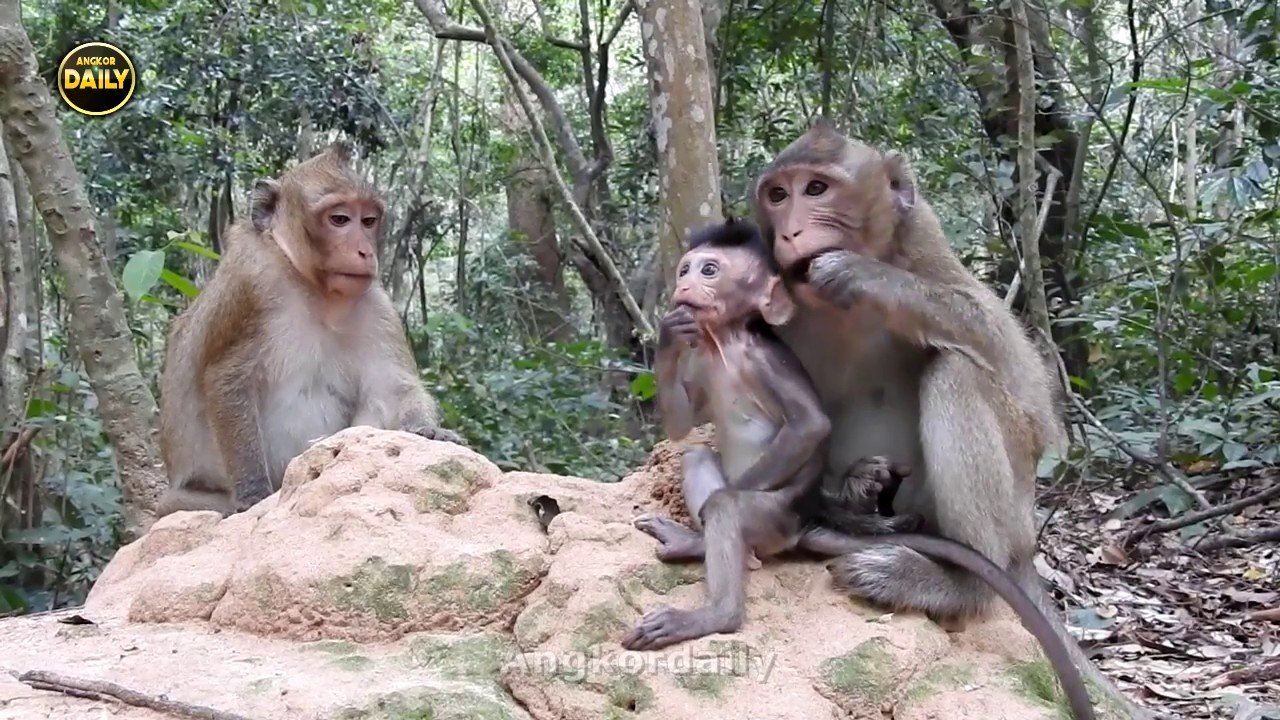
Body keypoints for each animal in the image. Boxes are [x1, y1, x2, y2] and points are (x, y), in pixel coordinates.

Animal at [157, 141, 464, 518]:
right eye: (339, 219)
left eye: (368, 220)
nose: (365, 251)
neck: (313, 287)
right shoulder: (250, 282)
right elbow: (225, 377)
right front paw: (252, 495)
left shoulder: (377, 306)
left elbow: (393, 389)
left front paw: (428, 431)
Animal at [623, 219, 920, 652]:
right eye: (684, 270)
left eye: (708, 270)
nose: (684, 286)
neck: (726, 343)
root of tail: (801, 523)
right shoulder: (701, 360)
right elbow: (681, 427)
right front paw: (668, 334)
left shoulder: (763, 361)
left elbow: (811, 425)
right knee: (696, 455)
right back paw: (694, 543)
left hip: (771, 518)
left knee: (727, 505)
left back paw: (714, 610)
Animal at [751, 120, 1151, 718]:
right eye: (778, 195)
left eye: (816, 190)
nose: (791, 231)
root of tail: (1023, 548)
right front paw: (844, 494)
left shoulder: (925, 240)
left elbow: (1025, 390)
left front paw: (866, 277)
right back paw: (853, 504)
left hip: (1010, 510)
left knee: (957, 371)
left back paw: (959, 584)